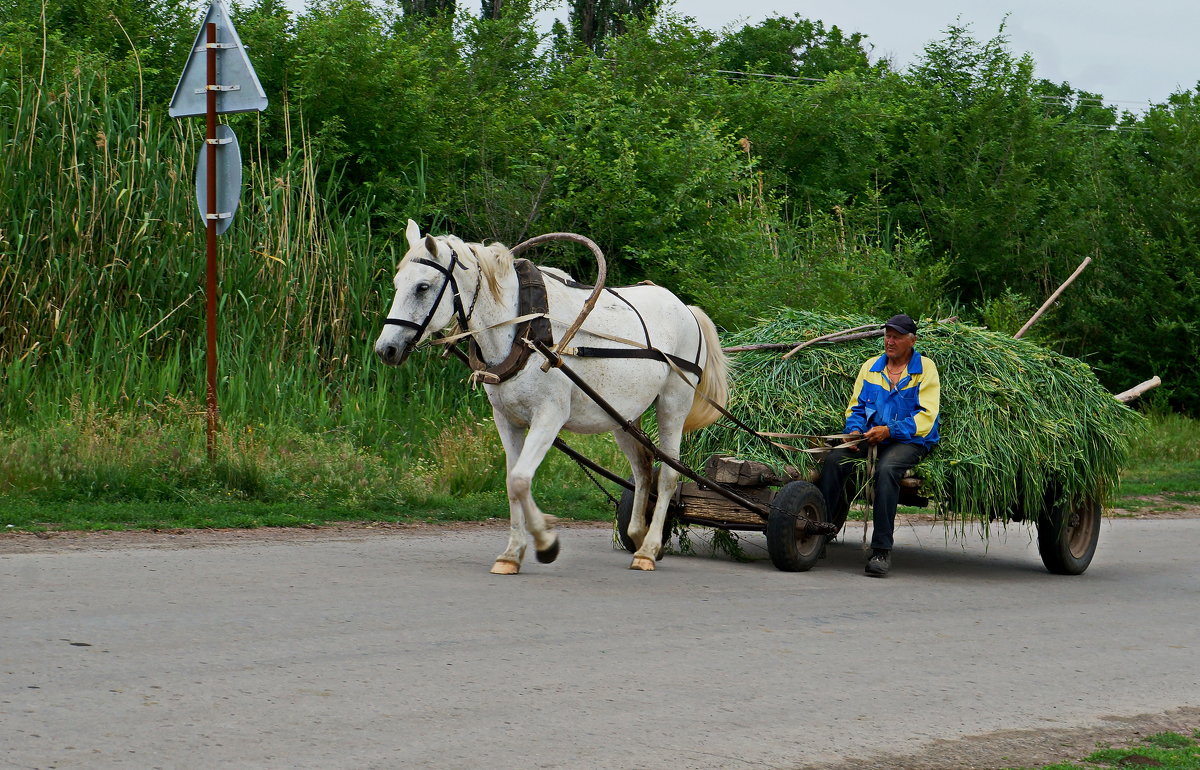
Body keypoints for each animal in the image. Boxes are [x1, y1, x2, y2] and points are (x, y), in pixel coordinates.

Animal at [374, 220, 729, 570]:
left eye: (422, 287)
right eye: (397, 283)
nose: (385, 349)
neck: (522, 330)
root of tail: (686, 308)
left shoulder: (549, 416)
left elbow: (520, 480)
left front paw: (545, 542)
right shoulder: (507, 420)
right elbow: (512, 483)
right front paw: (512, 553)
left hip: (673, 403)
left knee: (668, 475)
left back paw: (648, 550)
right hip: (623, 415)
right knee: (643, 470)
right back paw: (638, 535)